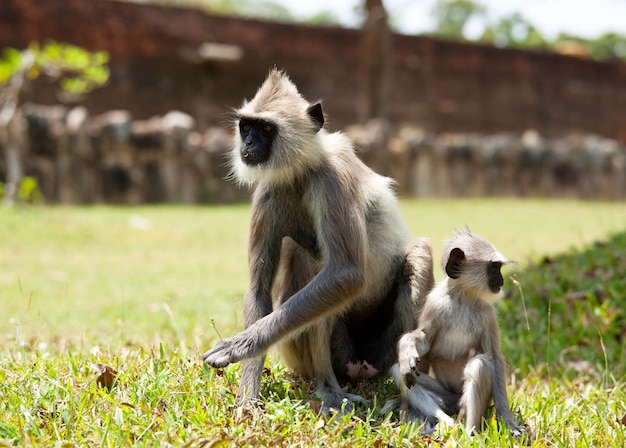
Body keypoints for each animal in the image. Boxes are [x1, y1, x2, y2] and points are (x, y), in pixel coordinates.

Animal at [201, 68, 434, 414]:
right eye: (246, 127)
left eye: (265, 128)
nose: (249, 143)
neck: (301, 171)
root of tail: (360, 365)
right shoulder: (268, 192)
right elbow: (259, 290)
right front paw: (248, 395)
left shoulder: (332, 180)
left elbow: (346, 273)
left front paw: (240, 344)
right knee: (307, 258)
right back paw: (330, 387)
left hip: (381, 350)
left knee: (412, 253)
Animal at [388, 229, 524, 440]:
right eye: (494, 268)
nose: (501, 280)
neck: (463, 298)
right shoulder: (435, 303)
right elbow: (423, 340)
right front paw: (407, 352)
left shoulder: (488, 314)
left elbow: (494, 358)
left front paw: (507, 421)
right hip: (448, 396)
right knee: (399, 371)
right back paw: (445, 422)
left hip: (468, 400)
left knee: (480, 365)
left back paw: (468, 433)